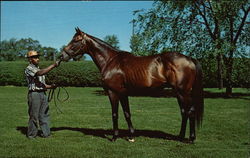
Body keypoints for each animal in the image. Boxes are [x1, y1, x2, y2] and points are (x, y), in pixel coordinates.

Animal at [59, 27, 204, 143]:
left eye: (76, 40)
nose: (62, 55)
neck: (110, 60)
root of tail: (189, 59)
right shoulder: (123, 93)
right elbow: (127, 113)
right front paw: (131, 136)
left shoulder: (113, 92)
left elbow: (115, 114)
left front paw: (114, 137)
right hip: (178, 93)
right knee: (184, 112)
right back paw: (180, 137)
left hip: (183, 92)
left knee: (190, 112)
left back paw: (191, 139)